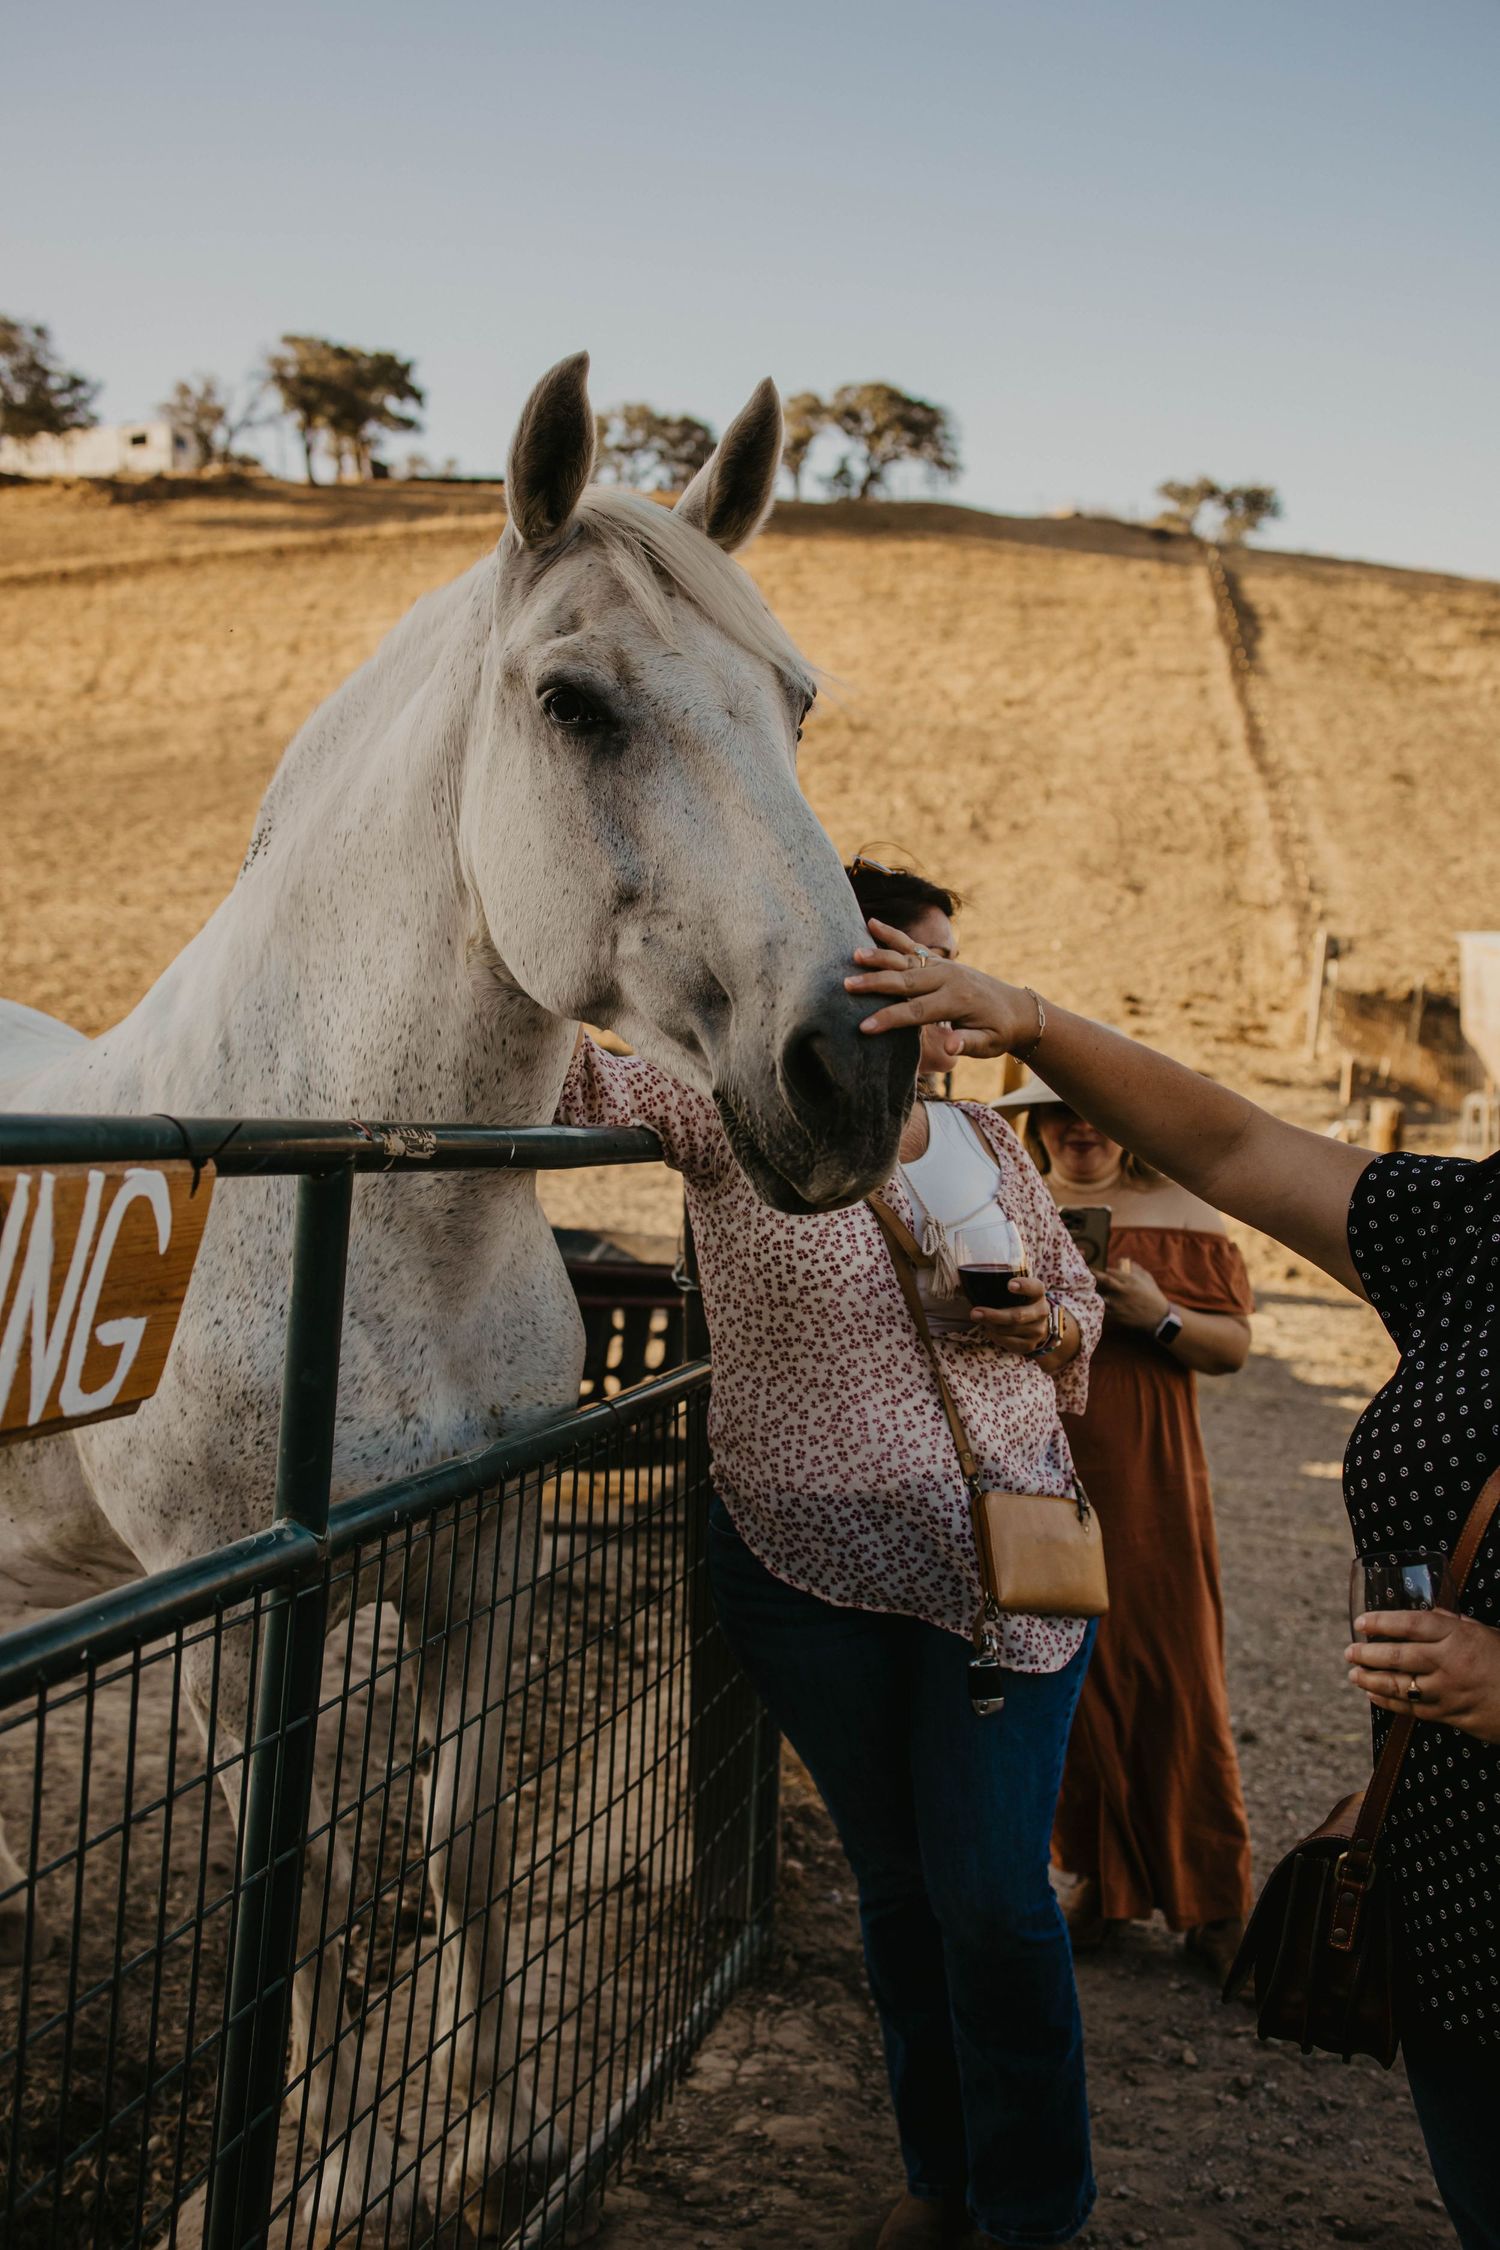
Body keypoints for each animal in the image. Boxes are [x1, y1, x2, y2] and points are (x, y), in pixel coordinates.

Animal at [0, 351, 917, 2242]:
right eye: (573, 702)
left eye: (794, 700)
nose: (855, 1075)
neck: (344, 1189)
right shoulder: (247, 1627)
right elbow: (307, 1882)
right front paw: (330, 2164)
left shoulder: (483, 1555)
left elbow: (463, 1841)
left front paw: (500, 2135)